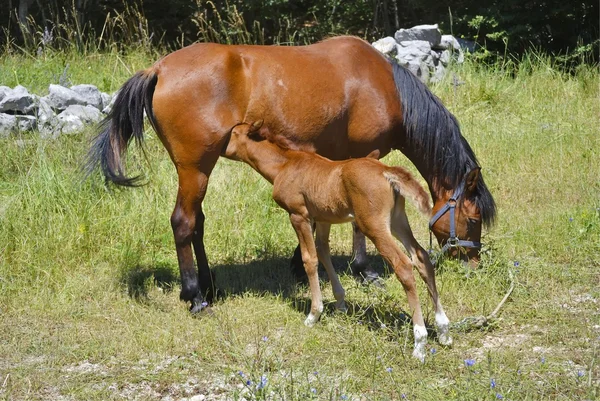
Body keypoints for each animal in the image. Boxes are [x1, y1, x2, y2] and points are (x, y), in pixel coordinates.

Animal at [85, 36, 496, 312]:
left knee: (197, 222)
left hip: (198, 170)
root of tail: (158, 69)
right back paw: (195, 295)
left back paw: (210, 285)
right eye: (473, 217)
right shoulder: (366, 156)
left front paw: (301, 265)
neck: (385, 85)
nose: (474, 263)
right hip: (195, 167)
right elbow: (358, 224)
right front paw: (365, 270)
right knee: (184, 222)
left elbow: (315, 217)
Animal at [224, 120, 450, 360]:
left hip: (374, 225)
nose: (219, 147)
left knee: (404, 265)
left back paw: (420, 342)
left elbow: (310, 259)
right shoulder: (324, 219)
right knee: (421, 257)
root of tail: (387, 171)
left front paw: (314, 314)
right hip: (398, 220)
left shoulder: (299, 215)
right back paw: (443, 330)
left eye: (233, 133)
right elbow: (323, 253)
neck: (284, 165)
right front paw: (340, 304)